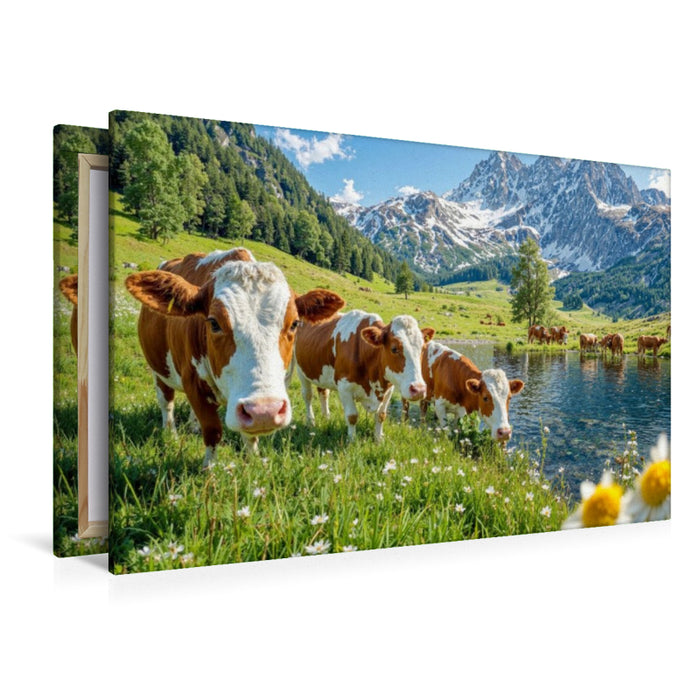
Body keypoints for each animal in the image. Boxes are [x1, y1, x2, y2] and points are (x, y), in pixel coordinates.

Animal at [124, 248, 345, 467]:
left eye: (294, 324)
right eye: (214, 323)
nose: (264, 411)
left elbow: (250, 435)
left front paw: (254, 460)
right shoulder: (192, 381)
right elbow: (212, 430)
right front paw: (209, 468)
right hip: (158, 367)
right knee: (166, 401)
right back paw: (171, 434)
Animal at [294, 310, 434, 441]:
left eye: (422, 349)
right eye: (394, 349)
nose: (419, 389)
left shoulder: (389, 389)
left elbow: (381, 416)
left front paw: (378, 440)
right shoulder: (344, 388)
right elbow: (352, 416)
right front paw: (352, 440)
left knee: (323, 392)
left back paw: (326, 417)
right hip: (300, 369)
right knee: (307, 396)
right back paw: (310, 421)